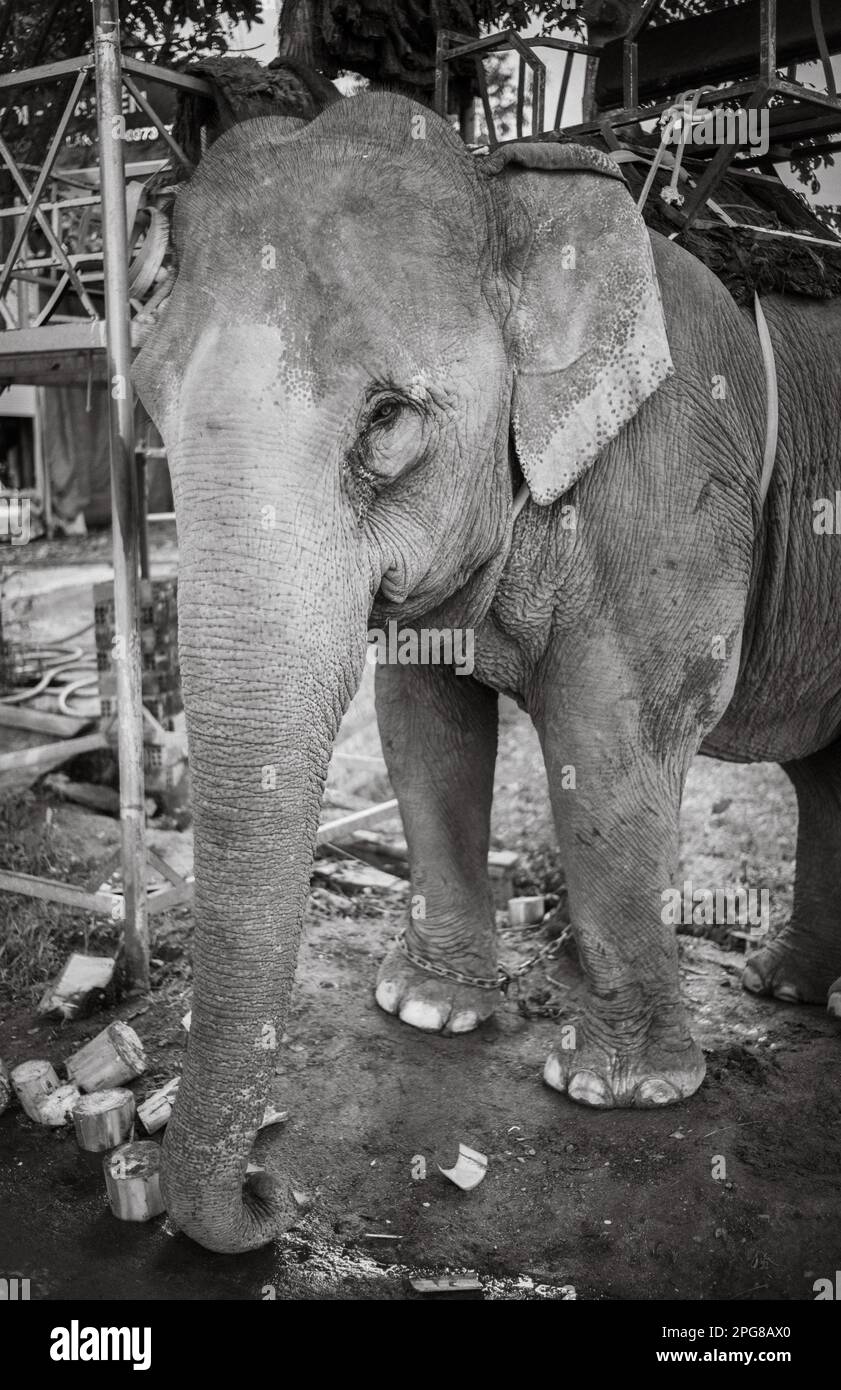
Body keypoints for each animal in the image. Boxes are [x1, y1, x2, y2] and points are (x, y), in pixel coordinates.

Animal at [131, 92, 839, 1256]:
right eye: (147, 405)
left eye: (386, 418)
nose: (272, 1196)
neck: (501, 188)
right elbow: (421, 725)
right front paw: (427, 1011)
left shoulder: (674, 463)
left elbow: (610, 739)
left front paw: (620, 1091)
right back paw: (788, 986)